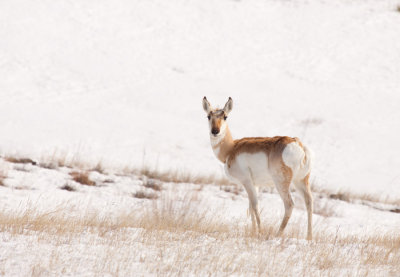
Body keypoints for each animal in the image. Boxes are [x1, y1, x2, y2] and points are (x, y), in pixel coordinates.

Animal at [203, 96, 312, 238]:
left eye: (225, 116)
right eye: (208, 116)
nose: (215, 131)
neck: (231, 148)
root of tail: (297, 143)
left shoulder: (247, 182)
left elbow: (254, 205)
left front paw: (259, 232)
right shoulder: (255, 185)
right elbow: (251, 206)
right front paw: (254, 231)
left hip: (281, 183)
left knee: (289, 204)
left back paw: (278, 234)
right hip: (301, 181)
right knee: (309, 202)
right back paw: (309, 237)